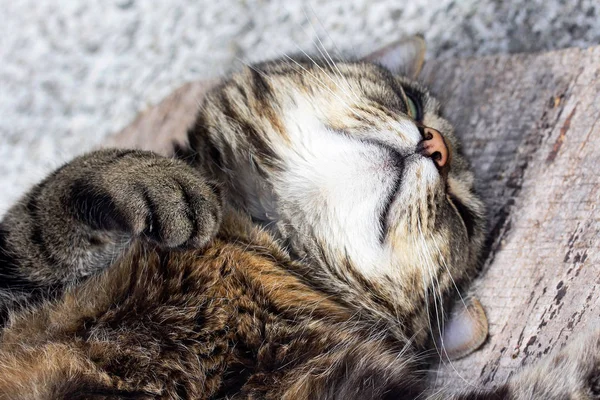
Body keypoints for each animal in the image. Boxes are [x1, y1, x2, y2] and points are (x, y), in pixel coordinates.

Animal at [0, 38, 596, 400]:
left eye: (464, 216)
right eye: (410, 101)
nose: (436, 146)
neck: (261, 243)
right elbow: (50, 208)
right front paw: (155, 178)